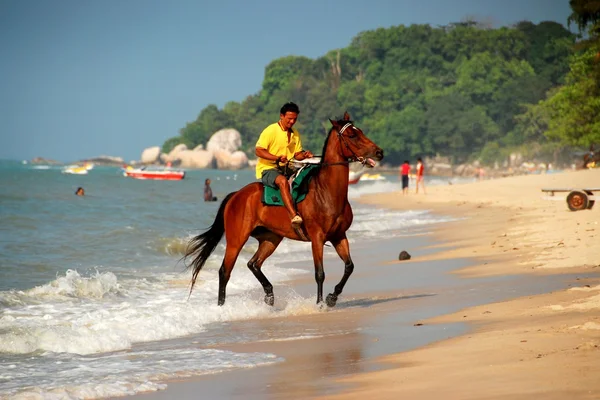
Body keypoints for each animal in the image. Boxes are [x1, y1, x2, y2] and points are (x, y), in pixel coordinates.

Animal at [183, 112, 384, 306]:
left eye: (360, 131)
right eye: (352, 135)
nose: (379, 152)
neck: (326, 192)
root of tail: (236, 195)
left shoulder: (339, 236)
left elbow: (349, 267)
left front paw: (331, 298)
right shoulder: (317, 238)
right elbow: (319, 273)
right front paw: (319, 304)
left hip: (271, 238)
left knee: (254, 264)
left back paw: (269, 295)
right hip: (236, 240)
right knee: (225, 271)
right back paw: (222, 307)